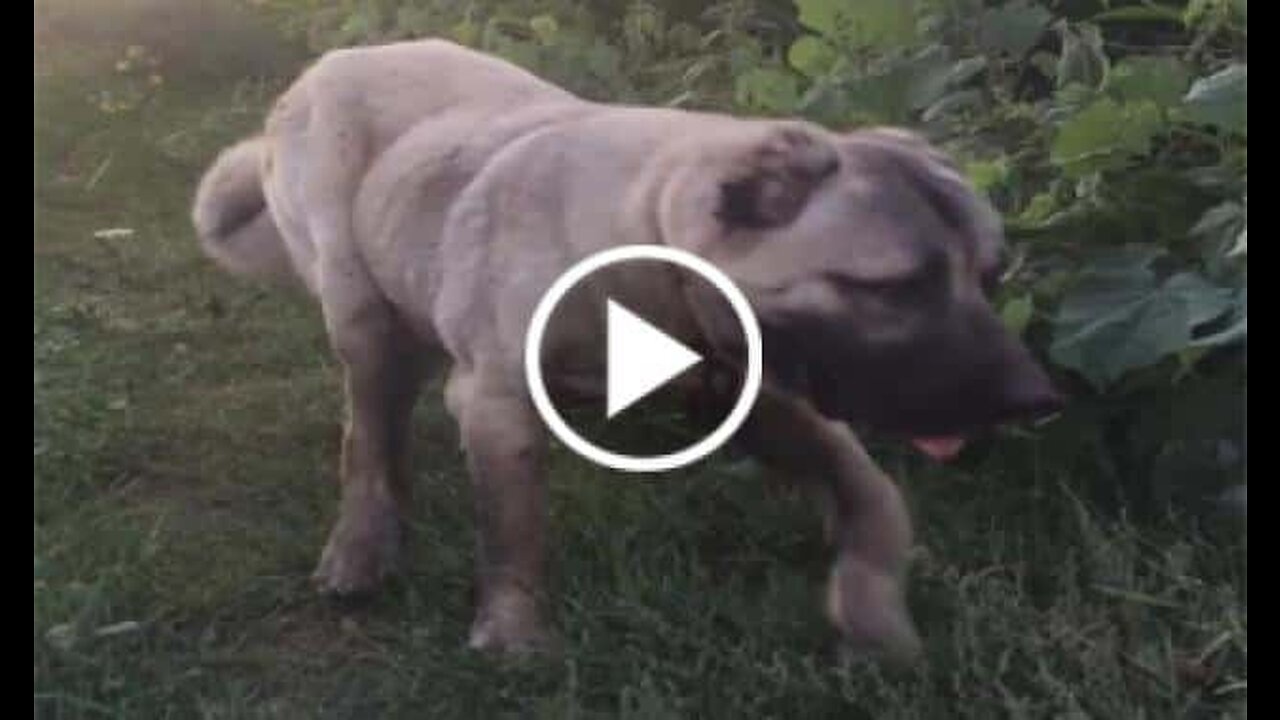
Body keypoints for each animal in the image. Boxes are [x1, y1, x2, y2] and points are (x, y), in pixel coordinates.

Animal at [192, 37, 1059, 655]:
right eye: (895, 288)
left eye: (990, 276)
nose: (1036, 399)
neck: (648, 249)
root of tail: (330, 62)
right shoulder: (495, 402)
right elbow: (513, 526)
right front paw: (512, 634)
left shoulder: (762, 396)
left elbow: (871, 493)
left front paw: (873, 612)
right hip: (360, 313)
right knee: (370, 439)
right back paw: (362, 548)